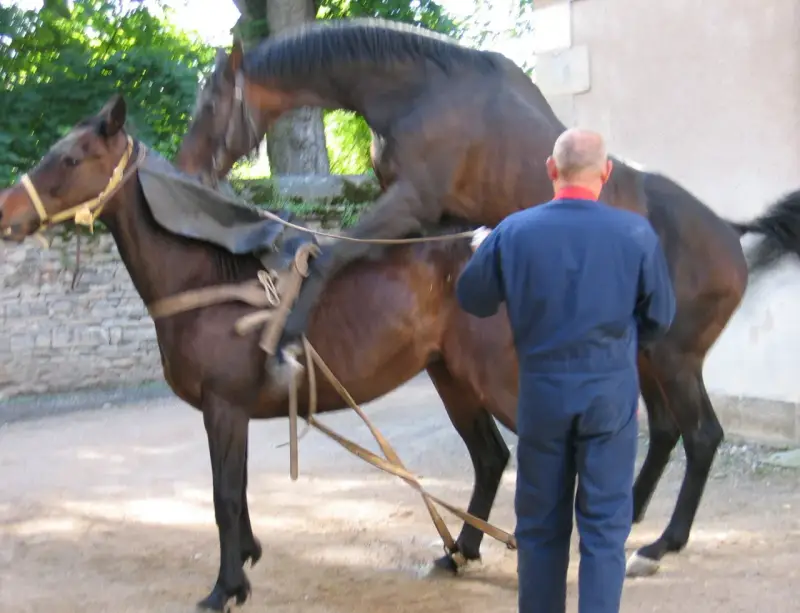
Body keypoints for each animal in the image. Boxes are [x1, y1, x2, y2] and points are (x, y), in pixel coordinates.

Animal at [0, 95, 521, 611]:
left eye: (70, 158)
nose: (6, 212)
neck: (208, 281)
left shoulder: (224, 407)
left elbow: (225, 497)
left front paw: (225, 588)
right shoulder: (233, 412)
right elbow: (239, 490)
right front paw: (245, 560)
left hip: (495, 378)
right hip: (451, 377)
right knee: (490, 458)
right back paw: (460, 551)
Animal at [173, 17, 757, 579]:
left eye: (211, 104)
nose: (186, 170)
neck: (422, 90)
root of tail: (731, 239)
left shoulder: (409, 203)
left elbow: (331, 254)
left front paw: (288, 339)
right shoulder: (430, 222)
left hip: (673, 357)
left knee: (701, 435)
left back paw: (661, 545)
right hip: (648, 356)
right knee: (664, 432)